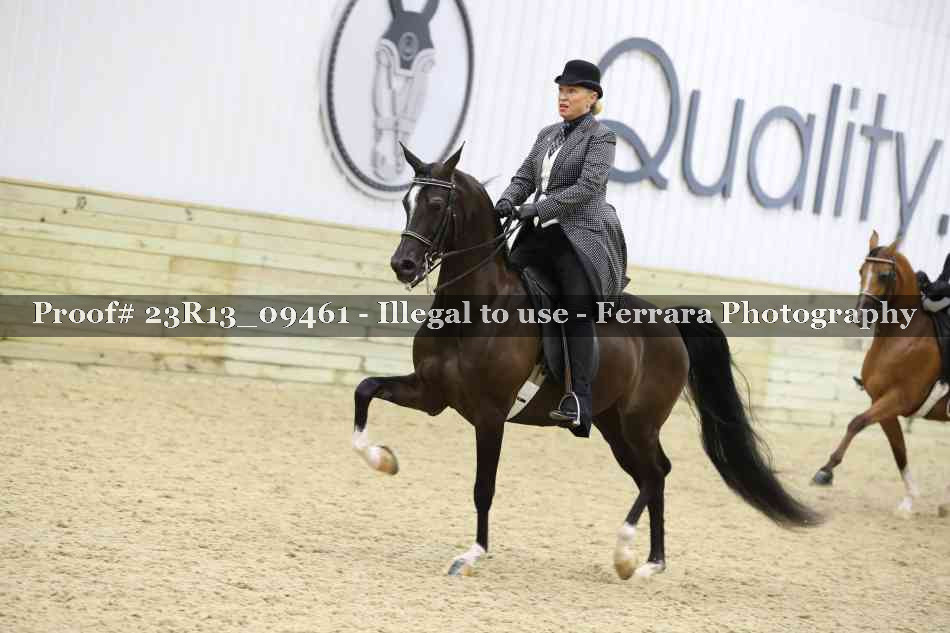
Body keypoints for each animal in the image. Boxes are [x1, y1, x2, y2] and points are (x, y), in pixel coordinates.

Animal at [352, 144, 819, 579]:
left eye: (436, 204)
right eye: (406, 202)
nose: (403, 264)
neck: (477, 308)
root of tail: (669, 323)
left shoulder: (490, 415)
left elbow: (483, 487)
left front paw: (471, 555)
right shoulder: (431, 394)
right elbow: (365, 390)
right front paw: (383, 460)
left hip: (639, 422)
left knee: (657, 473)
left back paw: (627, 556)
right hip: (614, 426)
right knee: (650, 476)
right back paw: (651, 563)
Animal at [812, 230, 950, 515]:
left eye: (884, 275)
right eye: (861, 270)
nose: (860, 316)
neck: (903, 337)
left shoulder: (899, 398)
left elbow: (856, 422)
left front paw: (826, 471)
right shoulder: (883, 404)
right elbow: (899, 450)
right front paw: (909, 501)